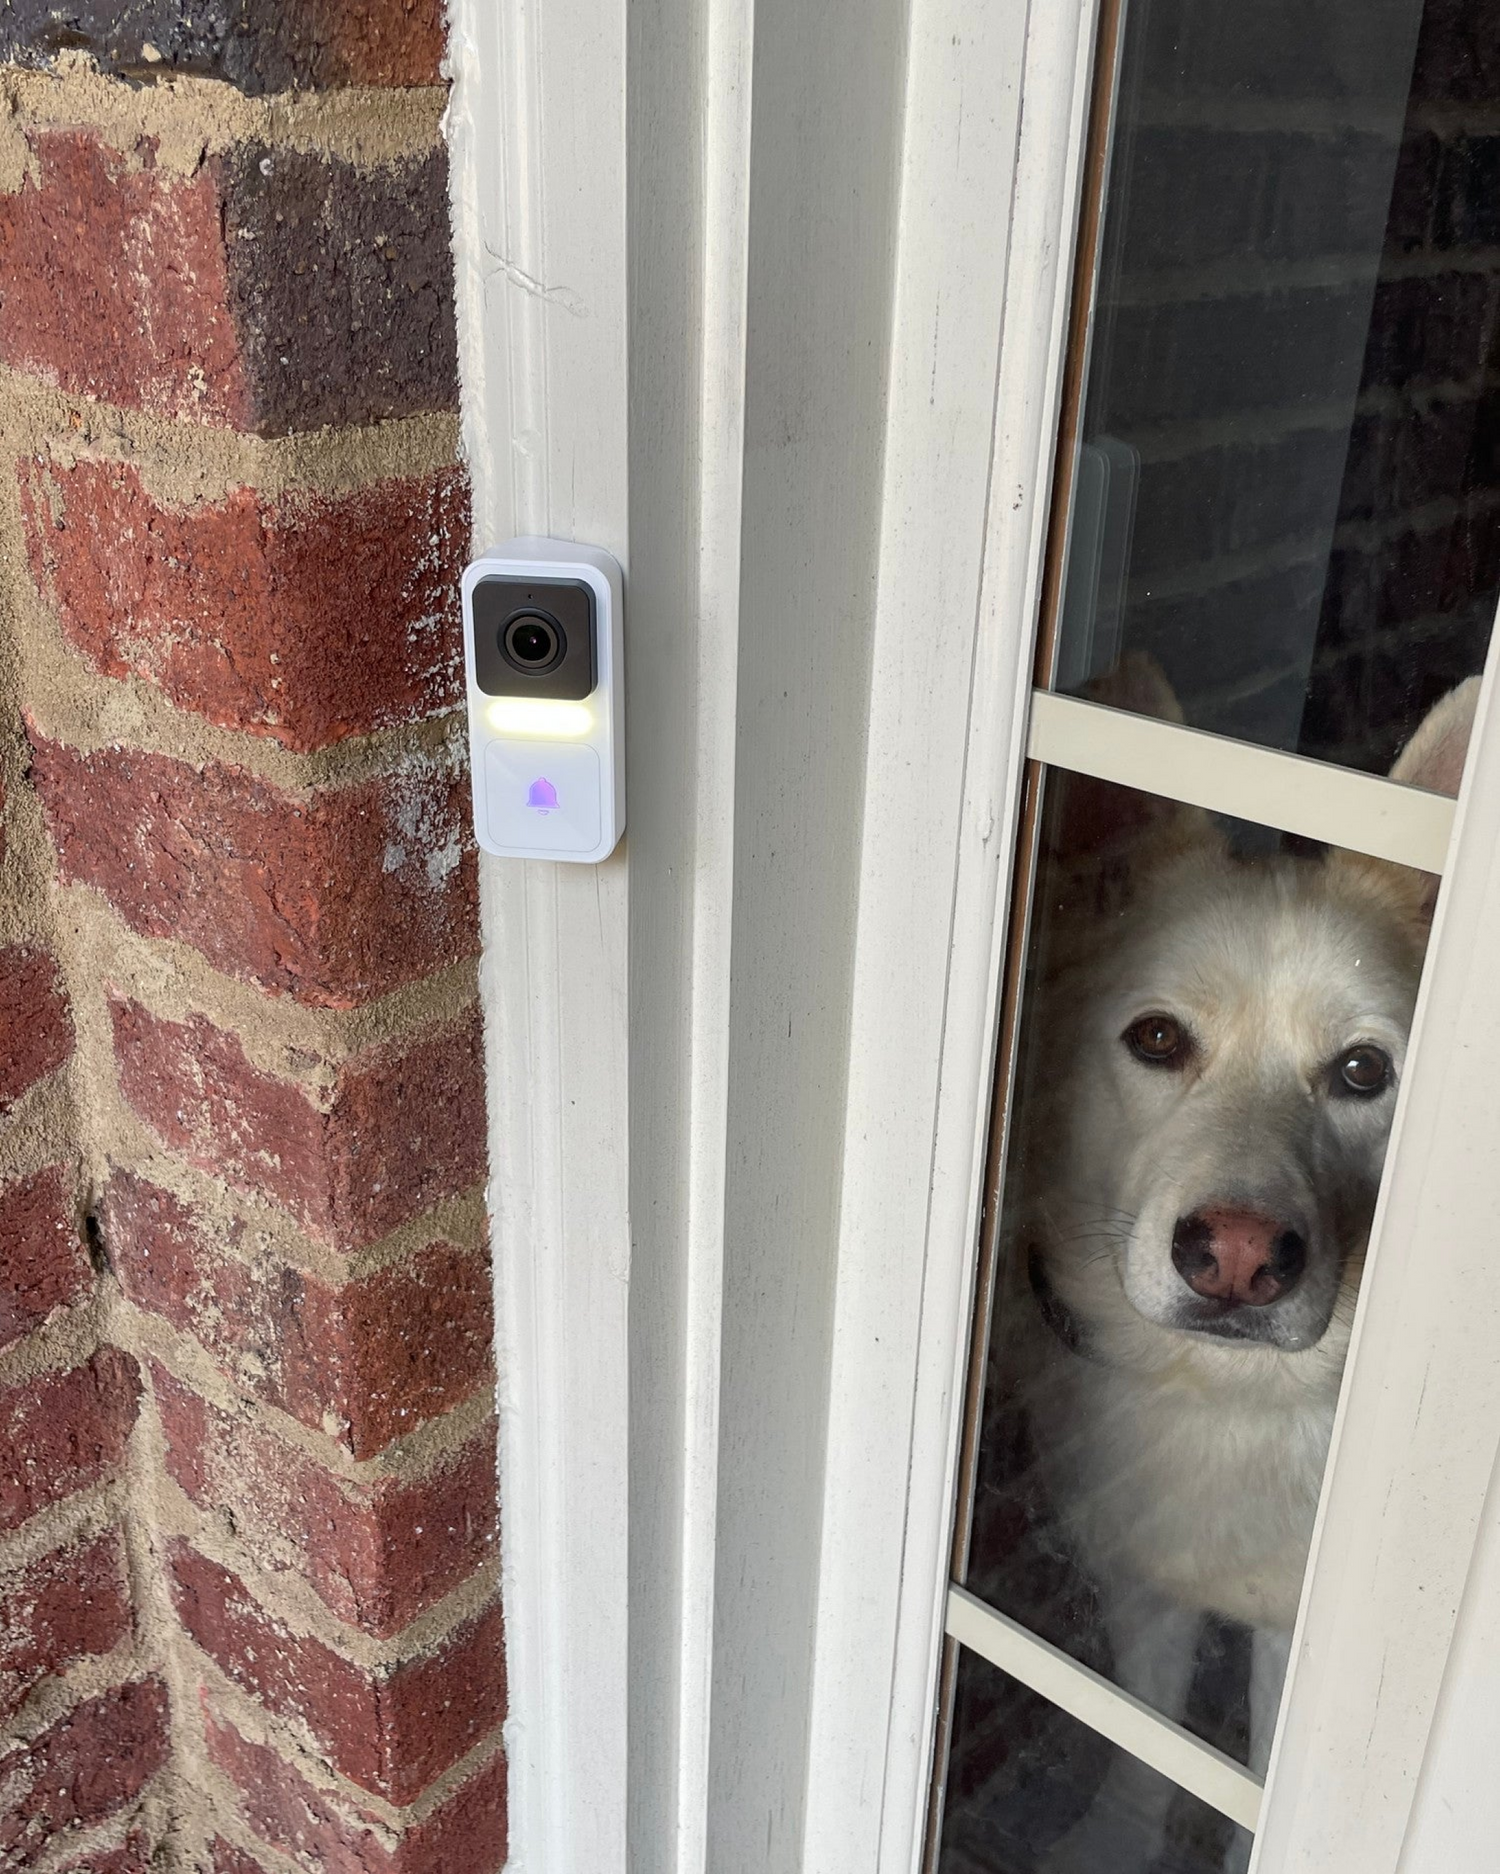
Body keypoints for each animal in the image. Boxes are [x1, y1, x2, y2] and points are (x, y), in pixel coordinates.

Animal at [1005, 674, 1477, 1874]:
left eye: (1362, 1070)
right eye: (1158, 1039)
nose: (1238, 1257)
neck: (1228, 1401)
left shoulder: (1287, 1643)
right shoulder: (1144, 1578)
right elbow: (1142, 1739)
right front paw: (1120, 1837)